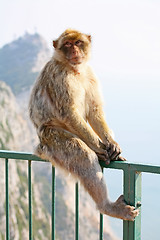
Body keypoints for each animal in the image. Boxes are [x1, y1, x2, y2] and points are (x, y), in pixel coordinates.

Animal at [28, 29, 139, 220]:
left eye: (78, 42)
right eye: (67, 44)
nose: (74, 50)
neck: (75, 69)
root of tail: (40, 145)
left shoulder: (90, 73)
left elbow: (94, 111)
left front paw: (112, 145)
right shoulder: (59, 75)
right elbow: (69, 113)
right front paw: (100, 147)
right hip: (52, 140)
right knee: (82, 155)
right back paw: (106, 206)